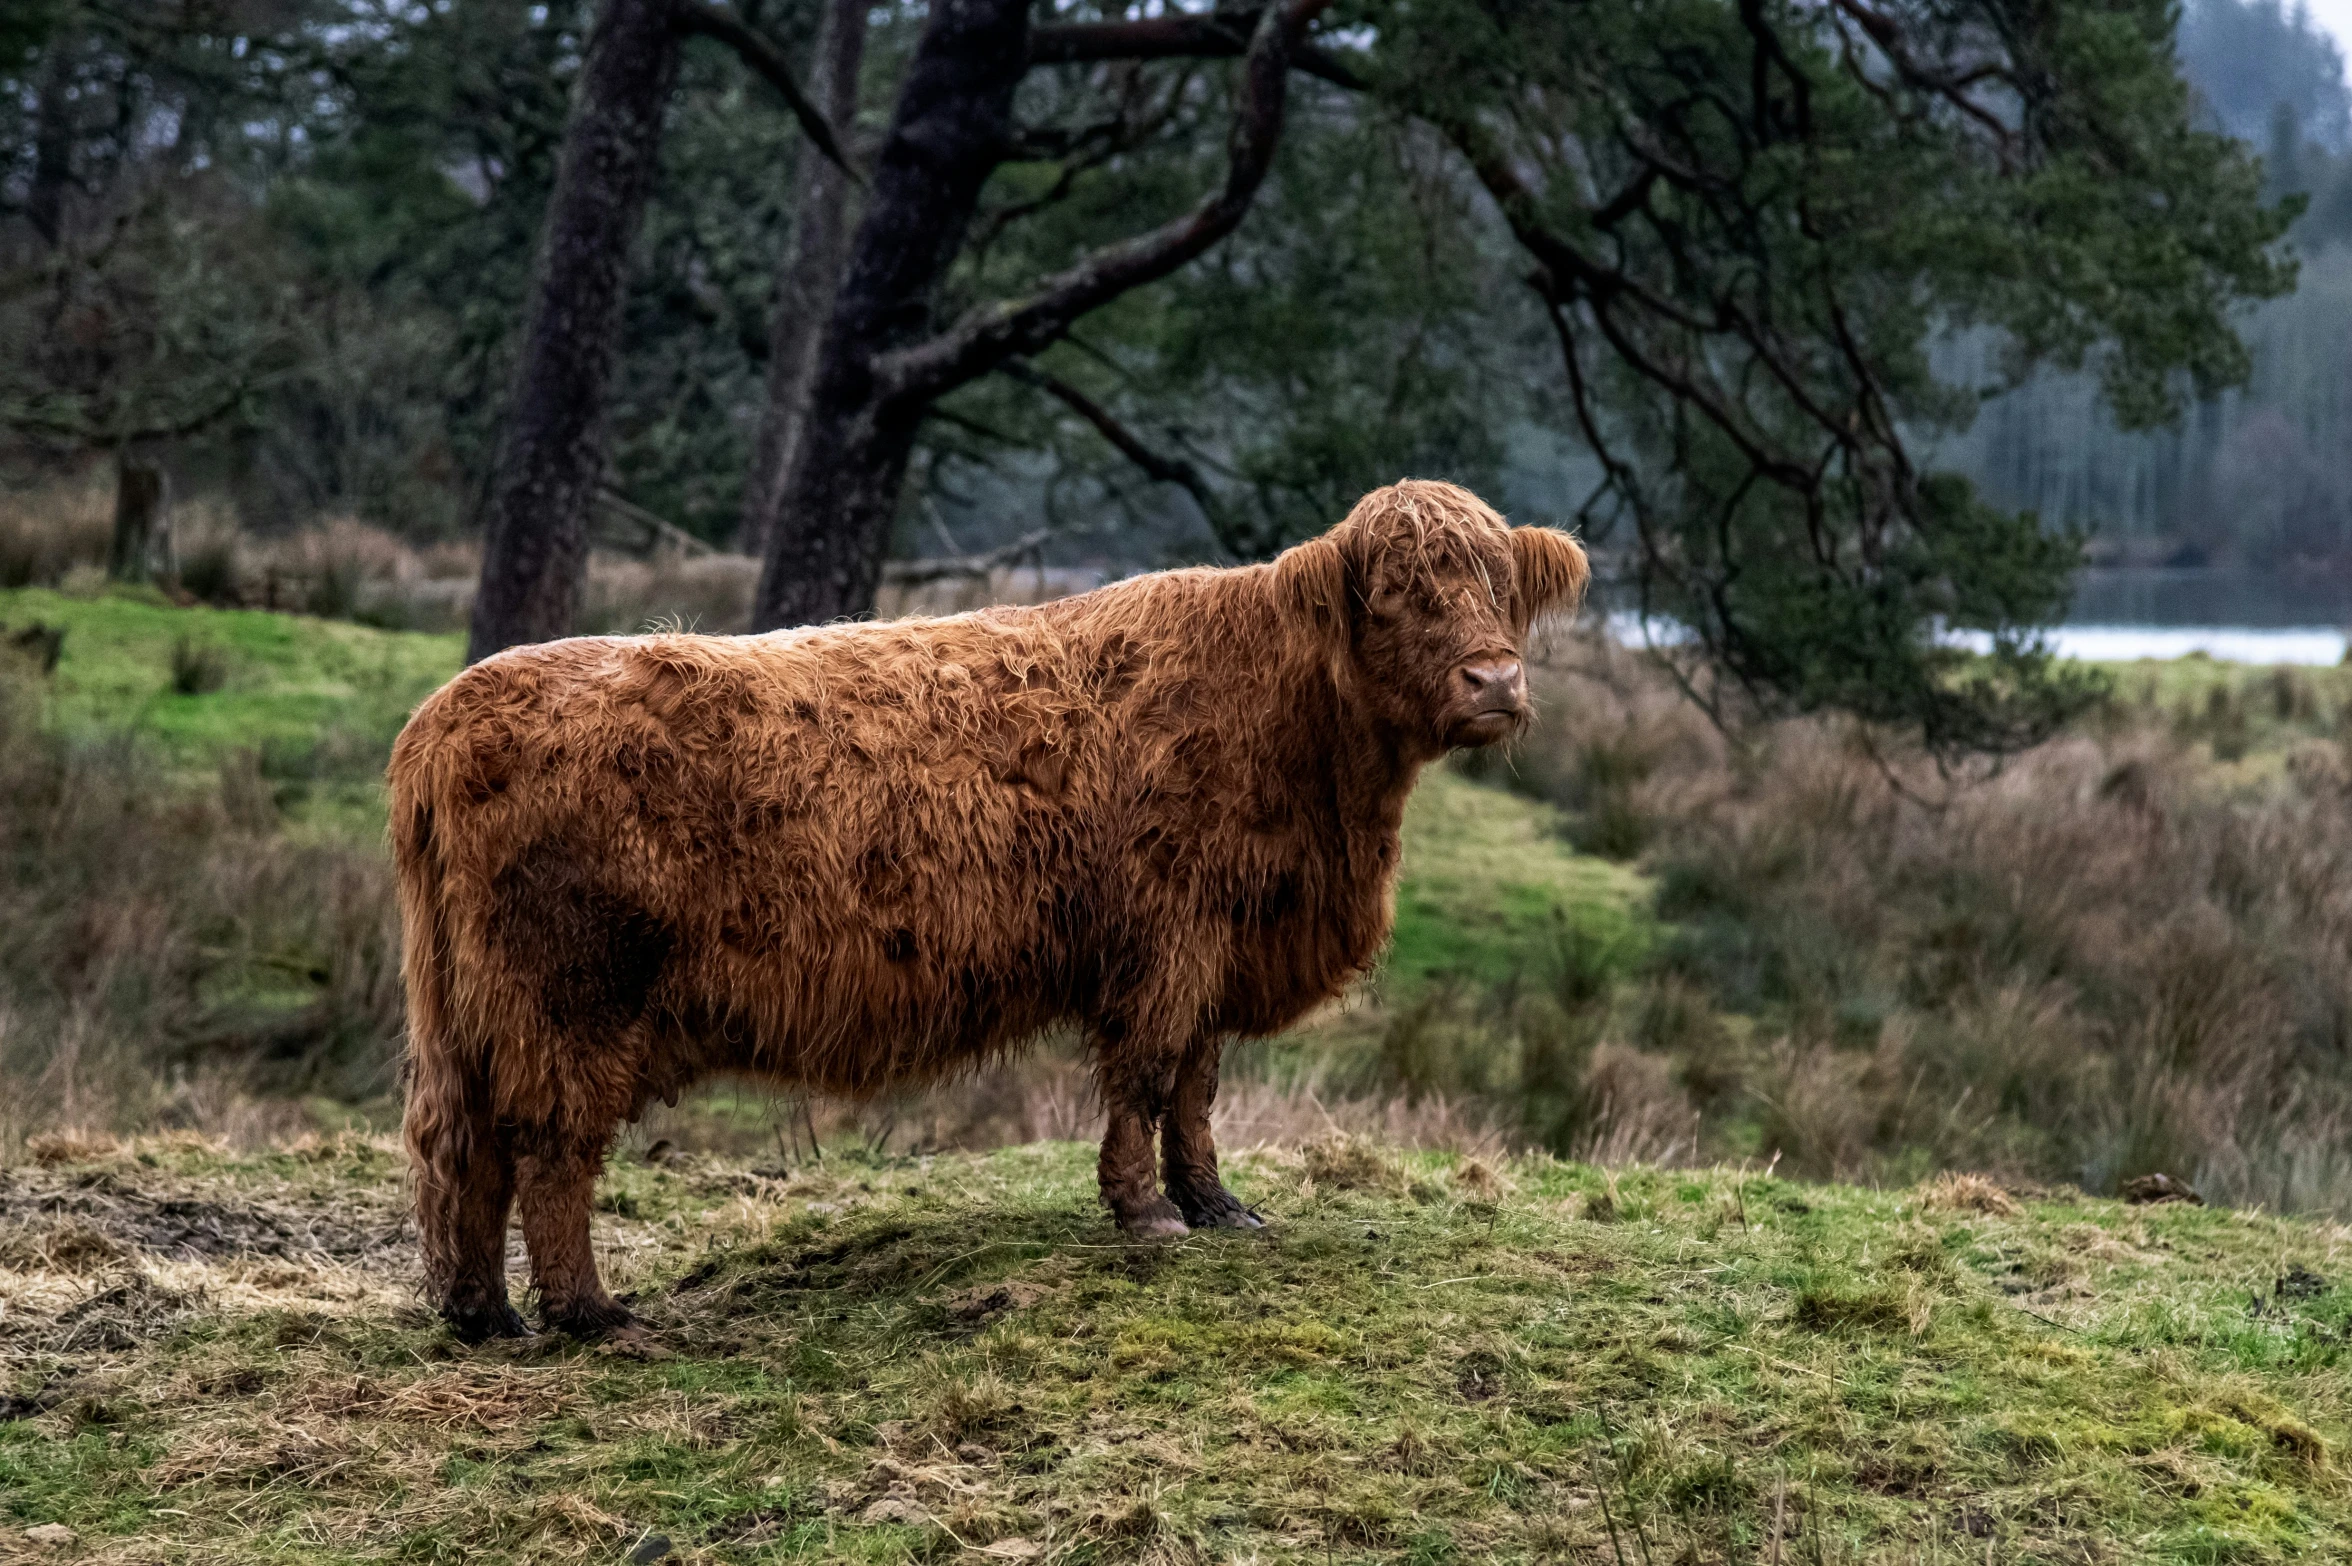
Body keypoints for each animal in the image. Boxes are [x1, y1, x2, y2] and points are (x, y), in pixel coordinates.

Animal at [395, 482, 1589, 1335]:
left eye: (1500, 588)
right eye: (1396, 594)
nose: (1494, 682)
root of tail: (448, 712)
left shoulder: (1217, 948)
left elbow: (1197, 1087)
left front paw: (1217, 1206)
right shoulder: (1166, 942)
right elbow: (1146, 1076)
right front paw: (1146, 1213)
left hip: (464, 1011)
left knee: (458, 1145)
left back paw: (482, 1315)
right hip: (572, 999)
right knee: (551, 1147)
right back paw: (591, 1315)